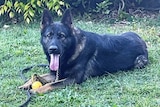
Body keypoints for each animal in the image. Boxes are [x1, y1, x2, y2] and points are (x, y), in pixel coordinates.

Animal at [19, 8, 148, 93]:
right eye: (49, 35)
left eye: (62, 36)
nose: (53, 49)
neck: (73, 49)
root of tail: (142, 40)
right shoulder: (55, 73)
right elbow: (39, 76)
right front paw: (26, 84)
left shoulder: (73, 79)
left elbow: (52, 84)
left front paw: (36, 90)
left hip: (140, 61)